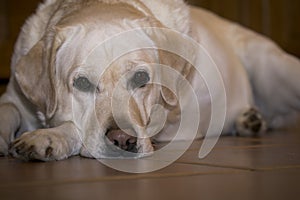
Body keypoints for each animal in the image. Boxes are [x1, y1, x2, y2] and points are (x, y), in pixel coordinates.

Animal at [0, 0, 300, 161]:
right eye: (82, 83)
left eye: (141, 77)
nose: (123, 140)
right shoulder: (14, 96)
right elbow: (7, 111)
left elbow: (74, 126)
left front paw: (48, 136)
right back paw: (249, 120)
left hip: (277, 70)